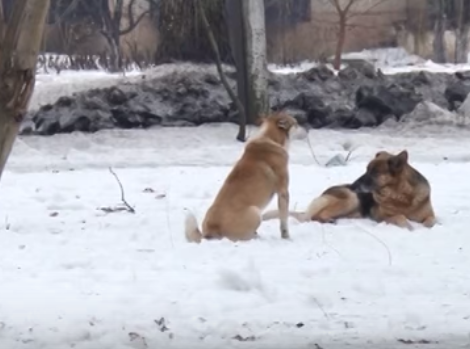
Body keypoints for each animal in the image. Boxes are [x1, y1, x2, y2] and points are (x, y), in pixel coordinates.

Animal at [184, 111, 308, 242]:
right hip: (255, 211)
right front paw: (286, 237)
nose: (307, 129)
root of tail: (210, 232)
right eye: (296, 123)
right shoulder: (283, 192)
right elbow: (284, 220)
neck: (270, 139)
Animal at [262, 149, 436, 228]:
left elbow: (430, 221)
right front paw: (409, 225)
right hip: (351, 199)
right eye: (366, 169)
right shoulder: (381, 216)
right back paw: (328, 220)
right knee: (315, 216)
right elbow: (400, 218)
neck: (402, 196)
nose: (353, 186)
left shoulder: (431, 216)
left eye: (374, 173)